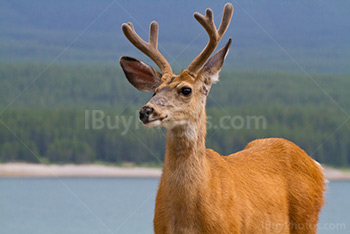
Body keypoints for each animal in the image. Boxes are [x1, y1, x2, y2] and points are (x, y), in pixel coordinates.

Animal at [119, 2, 326, 233]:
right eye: (154, 91)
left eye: (186, 90)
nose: (146, 111)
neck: (187, 218)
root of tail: (316, 165)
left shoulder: (229, 227)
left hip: (307, 220)